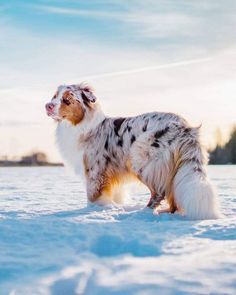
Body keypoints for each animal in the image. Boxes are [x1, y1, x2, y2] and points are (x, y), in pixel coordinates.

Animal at [45, 82, 220, 220]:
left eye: (67, 99)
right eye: (54, 96)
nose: (47, 105)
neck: (80, 125)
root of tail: (184, 126)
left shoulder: (96, 171)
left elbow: (93, 195)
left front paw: (92, 211)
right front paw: (112, 207)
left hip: (141, 157)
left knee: (159, 192)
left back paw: (142, 213)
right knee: (172, 196)